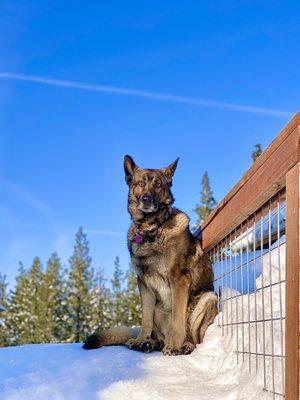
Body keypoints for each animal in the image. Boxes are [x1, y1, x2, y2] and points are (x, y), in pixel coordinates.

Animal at [83, 155, 217, 354]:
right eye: (140, 183)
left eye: (158, 185)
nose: (146, 199)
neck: (151, 229)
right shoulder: (144, 284)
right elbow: (145, 318)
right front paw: (141, 339)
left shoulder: (179, 279)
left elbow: (177, 318)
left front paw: (174, 346)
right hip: (158, 310)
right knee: (159, 335)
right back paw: (149, 343)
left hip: (207, 298)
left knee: (195, 339)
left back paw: (183, 345)